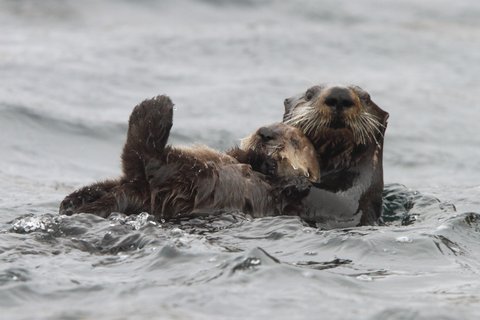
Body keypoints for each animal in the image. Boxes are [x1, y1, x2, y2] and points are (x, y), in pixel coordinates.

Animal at [60, 95, 320, 220]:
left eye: (295, 141)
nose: (264, 133)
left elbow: (290, 184)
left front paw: (276, 165)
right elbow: (239, 154)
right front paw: (257, 153)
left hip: (188, 175)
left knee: (145, 152)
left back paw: (156, 106)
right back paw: (73, 200)